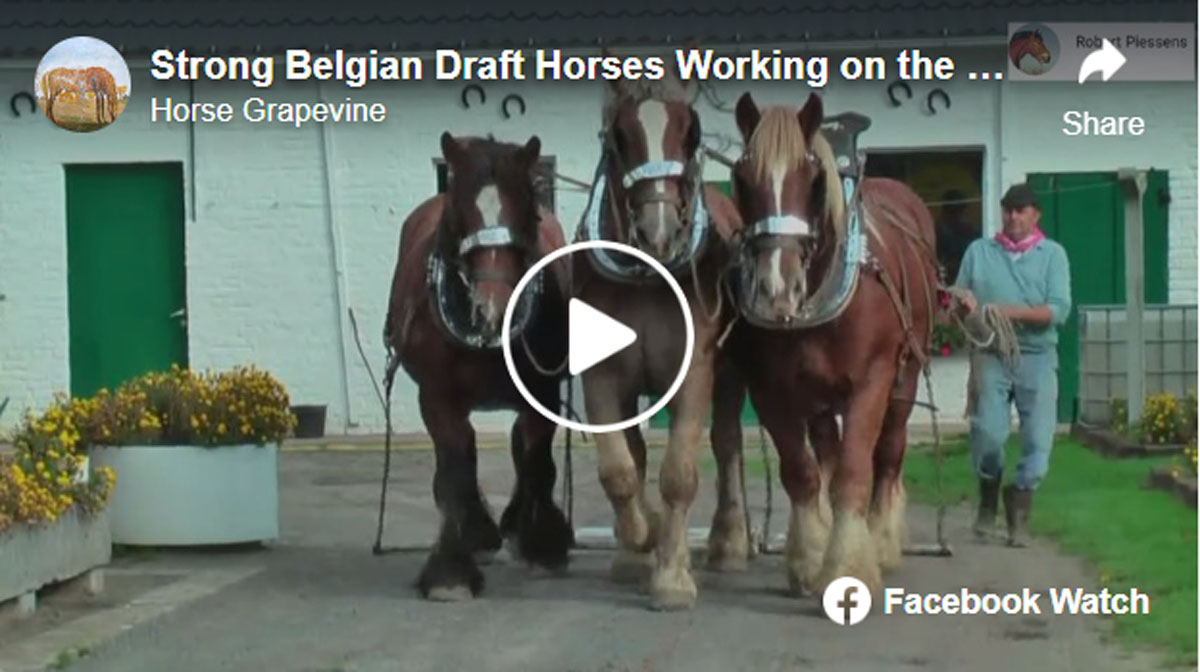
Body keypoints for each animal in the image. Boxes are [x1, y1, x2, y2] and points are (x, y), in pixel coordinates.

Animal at [381, 131, 573, 597]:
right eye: (460, 211)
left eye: (528, 205)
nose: (493, 308)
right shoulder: (436, 396)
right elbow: (454, 468)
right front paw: (450, 572)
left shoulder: (542, 392)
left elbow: (536, 459)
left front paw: (544, 546)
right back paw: (479, 533)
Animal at [576, 52, 744, 609]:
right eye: (618, 136)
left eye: (691, 133)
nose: (659, 232)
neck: (647, 276)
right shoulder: (602, 375)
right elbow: (620, 470)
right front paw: (640, 539)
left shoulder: (694, 372)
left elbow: (679, 475)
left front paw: (671, 576)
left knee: (727, 444)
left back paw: (729, 543)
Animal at [710, 90, 936, 597]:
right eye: (741, 178)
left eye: (813, 180)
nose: (776, 291)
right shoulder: (770, 389)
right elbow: (802, 472)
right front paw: (811, 557)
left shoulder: (873, 379)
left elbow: (854, 471)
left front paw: (849, 567)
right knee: (827, 454)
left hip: (905, 374)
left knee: (888, 452)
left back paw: (882, 540)